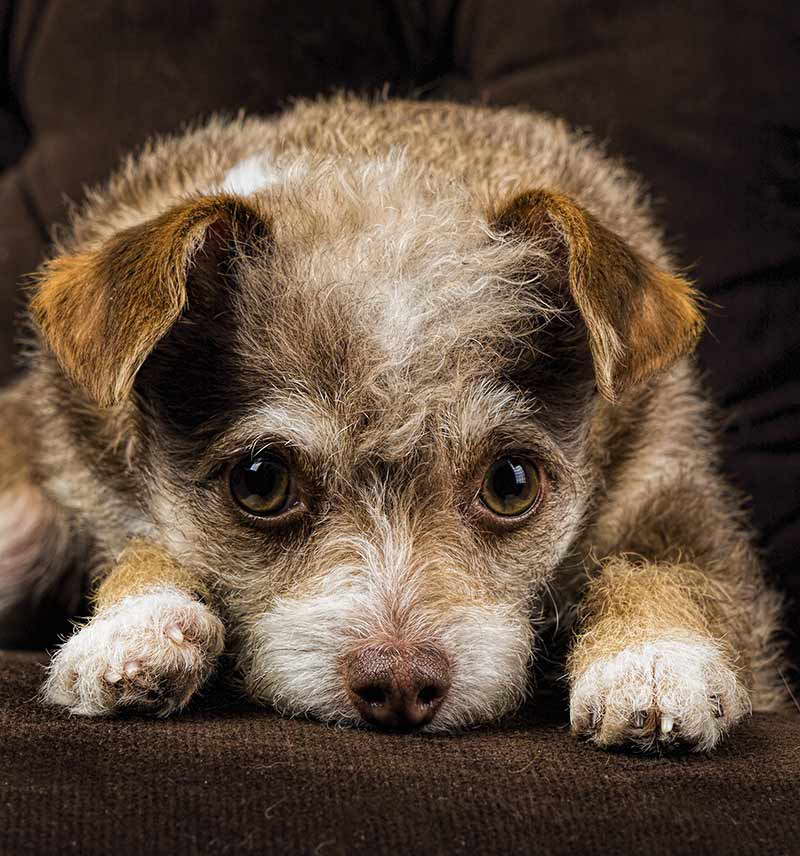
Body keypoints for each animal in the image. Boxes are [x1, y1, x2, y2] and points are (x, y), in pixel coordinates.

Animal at [0, 95, 788, 748]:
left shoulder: (668, 481)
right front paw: (137, 625)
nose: (401, 684)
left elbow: (672, 565)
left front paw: (652, 662)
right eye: (260, 482)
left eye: (510, 483)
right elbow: (148, 539)